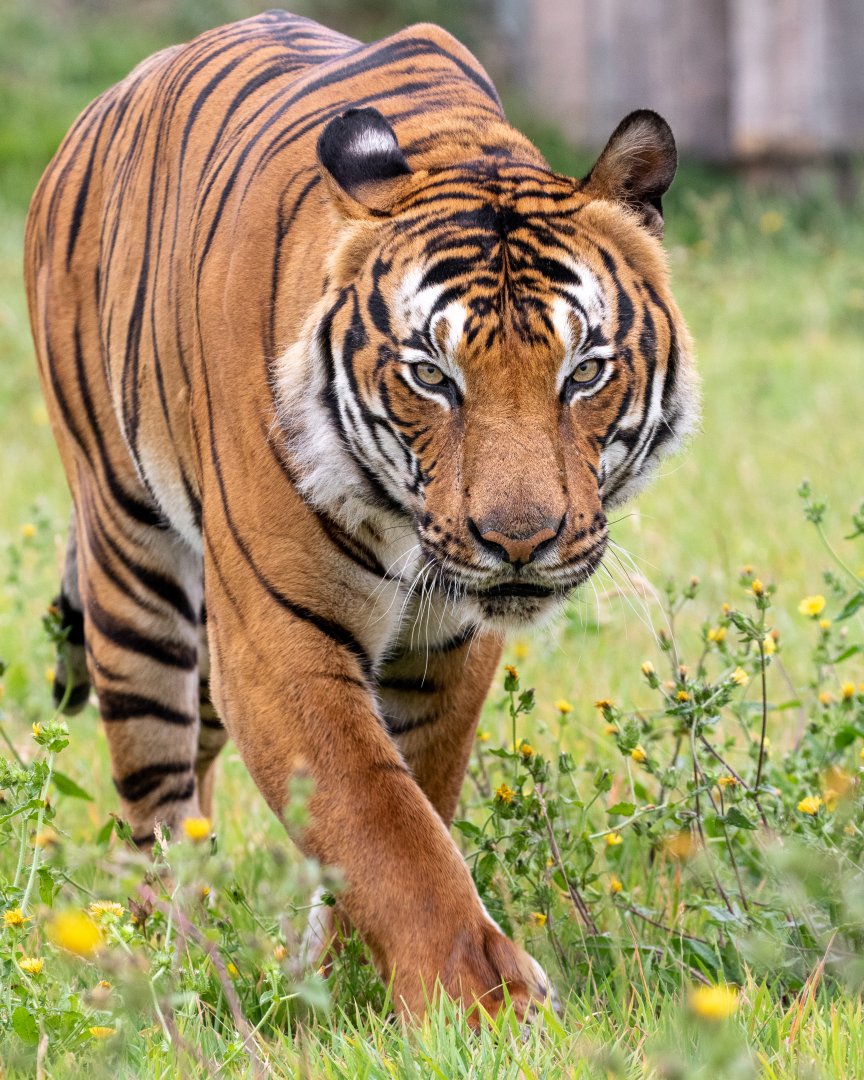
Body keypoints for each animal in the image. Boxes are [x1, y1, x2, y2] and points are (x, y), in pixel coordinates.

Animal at [24, 10, 697, 1021]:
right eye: (431, 375)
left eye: (584, 372)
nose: (520, 543)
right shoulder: (276, 637)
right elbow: (378, 818)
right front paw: (482, 1003)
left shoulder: (448, 645)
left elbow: (410, 798)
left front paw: (345, 981)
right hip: (136, 569)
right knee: (154, 806)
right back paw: (168, 965)